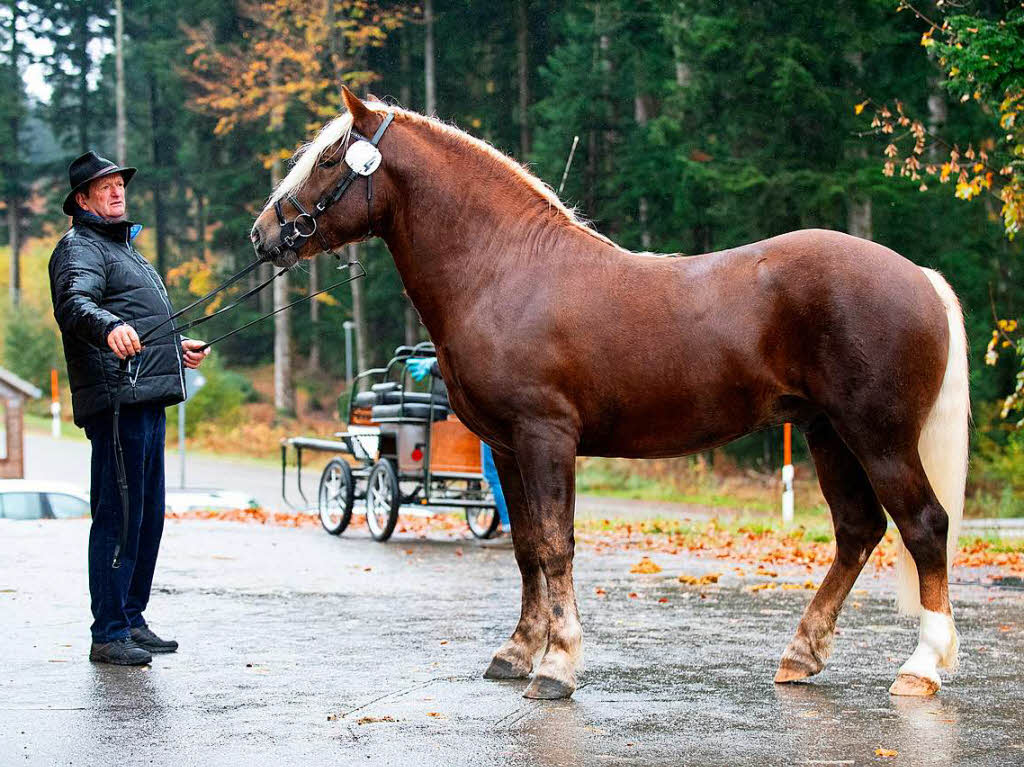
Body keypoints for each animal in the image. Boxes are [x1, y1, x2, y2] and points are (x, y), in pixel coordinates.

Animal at [249, 89, 966, 700]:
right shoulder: (506, 448)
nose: (263, 234)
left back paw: (920, 668)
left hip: (877, 436)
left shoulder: (546, 437)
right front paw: (518, 652)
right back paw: (801, 654)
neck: (504, 268)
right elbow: (524, 546)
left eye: (330, 159)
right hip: (827, 433)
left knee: (923, 526)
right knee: (857, 530)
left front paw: (557, 665)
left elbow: (556, 544)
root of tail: (920, 277)